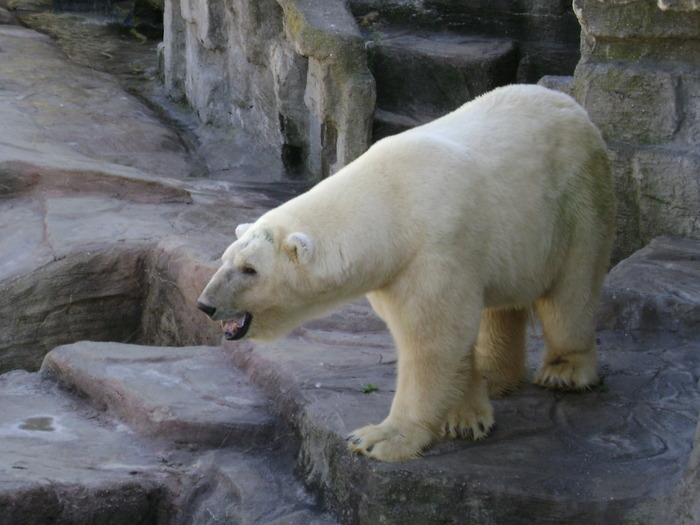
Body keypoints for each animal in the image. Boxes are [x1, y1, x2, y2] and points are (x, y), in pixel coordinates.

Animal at [196, 85, 612, 462]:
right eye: (226, 258)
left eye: (250, 269)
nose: (205, 305)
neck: (390, 203)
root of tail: (569, 103)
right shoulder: (395, 269)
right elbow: (452, 339)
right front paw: (466, 415)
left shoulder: (432, 249)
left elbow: (433, 338)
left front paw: (378, 438)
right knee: (504, 301)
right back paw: (496, 375)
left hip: (575, 199)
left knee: (572, 291)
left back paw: (564, 371)